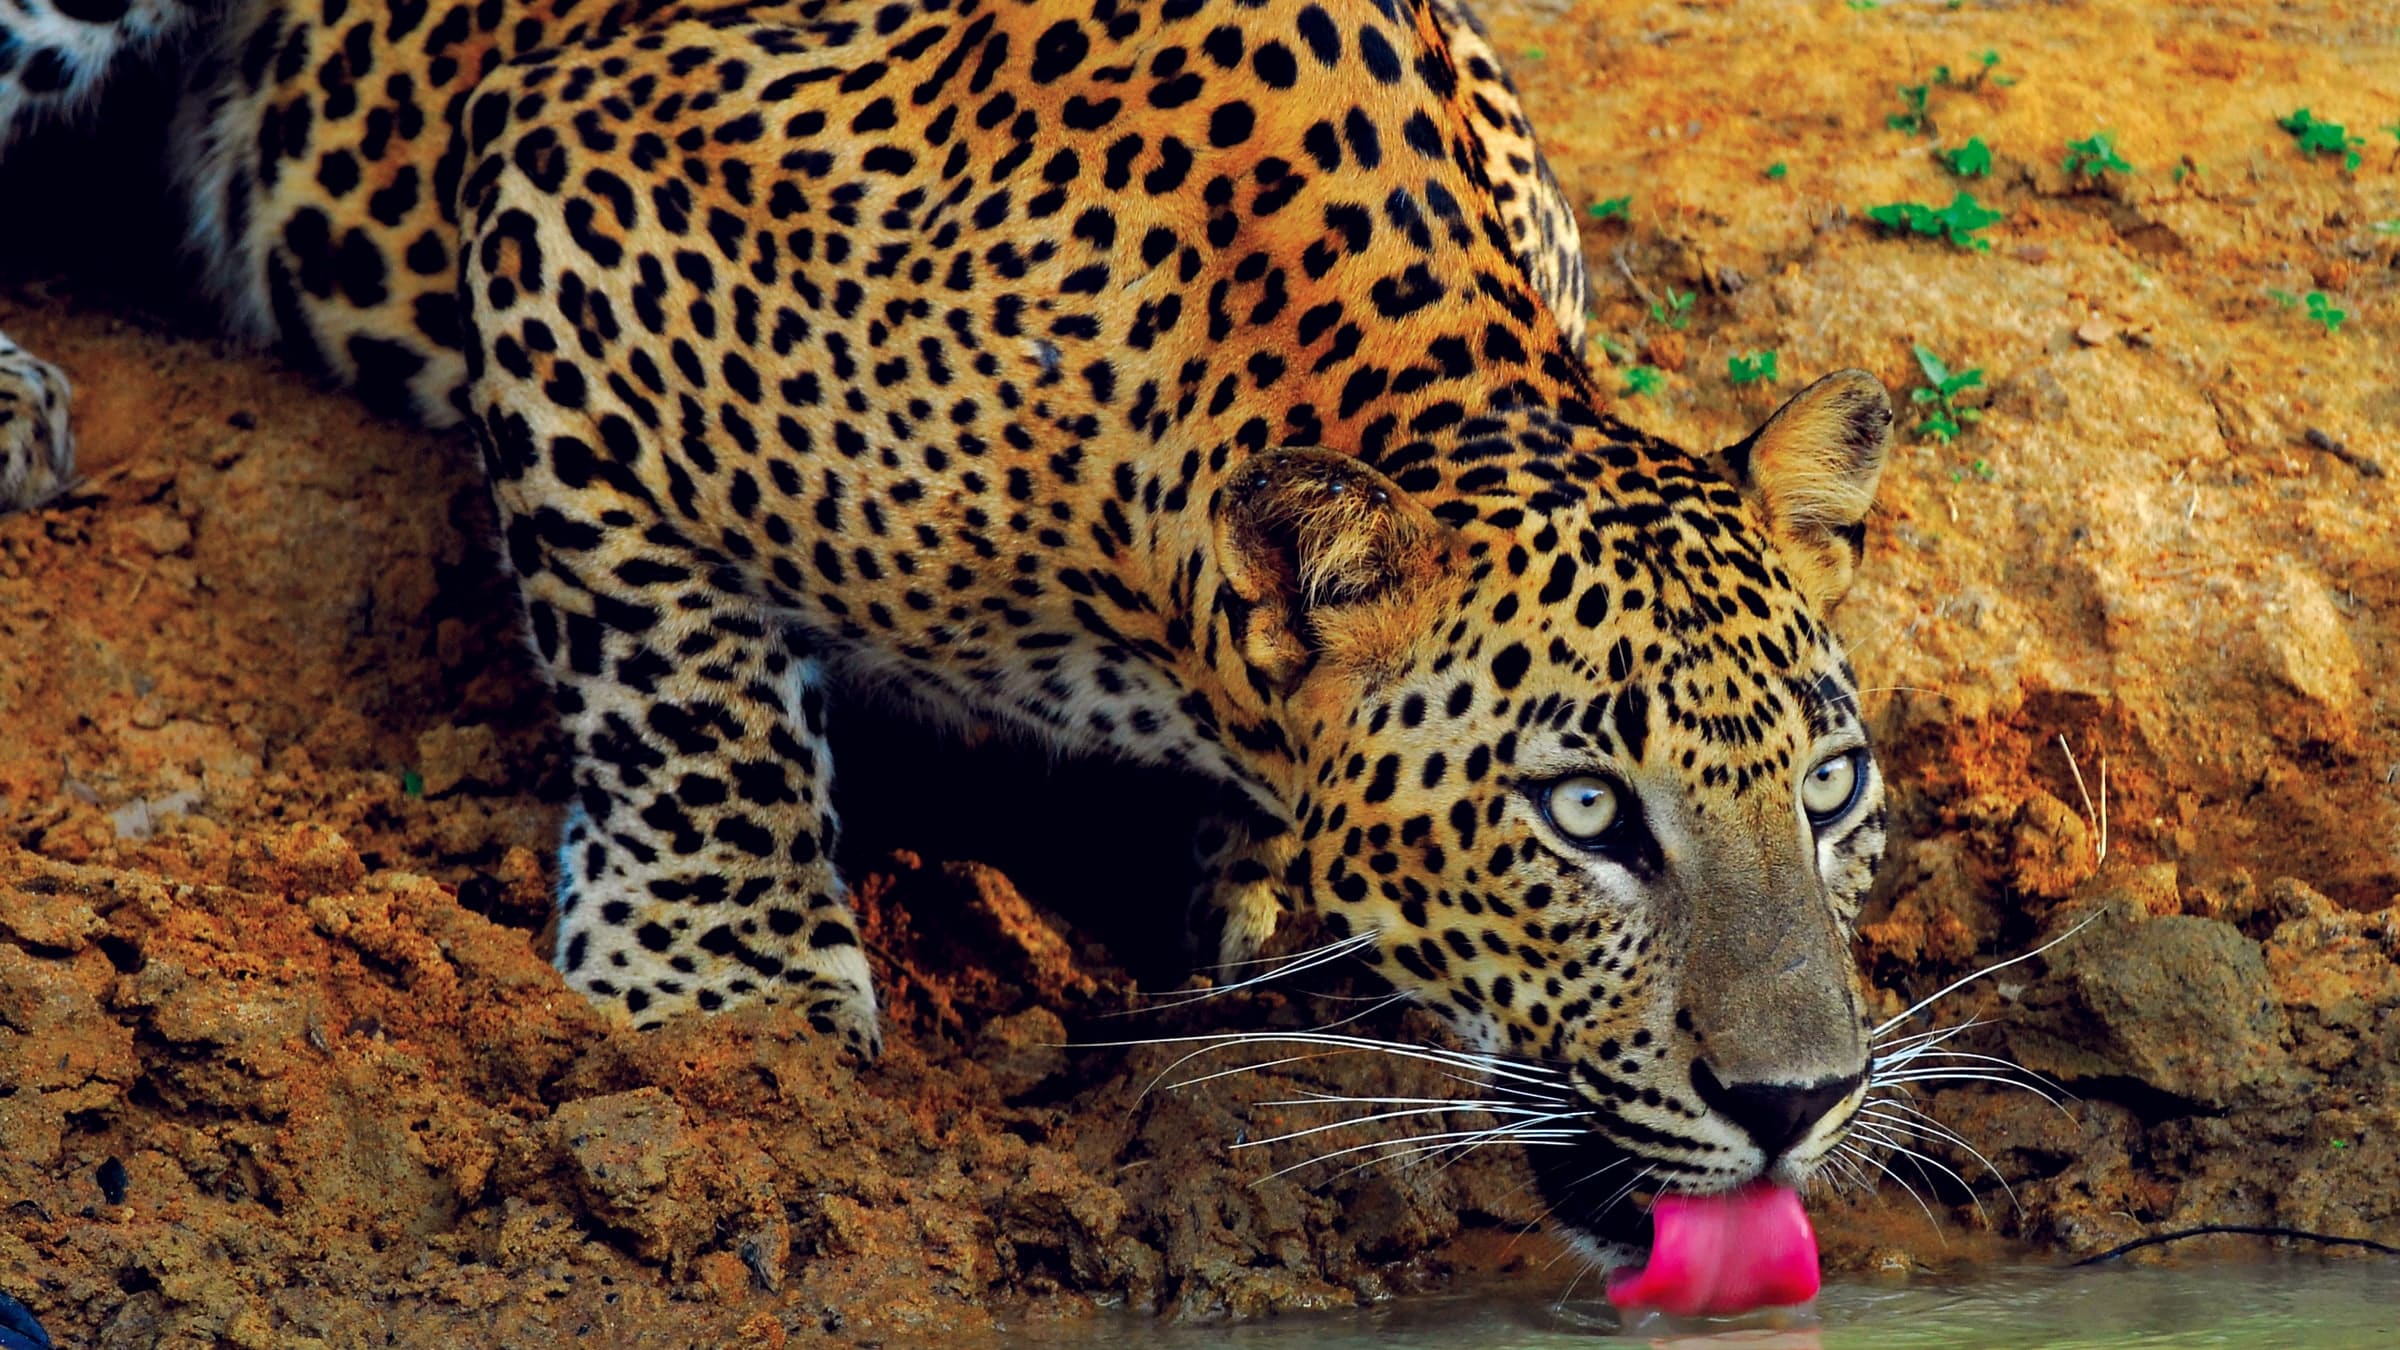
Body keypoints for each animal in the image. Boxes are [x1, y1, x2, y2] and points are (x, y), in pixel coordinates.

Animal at [0, 0, 1895, 1264]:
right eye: (1584, 814)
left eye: (1830, 793)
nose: (1798, 1104)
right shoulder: (576, 200)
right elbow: (677, 680)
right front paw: (722, 986)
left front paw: (1247, 886)